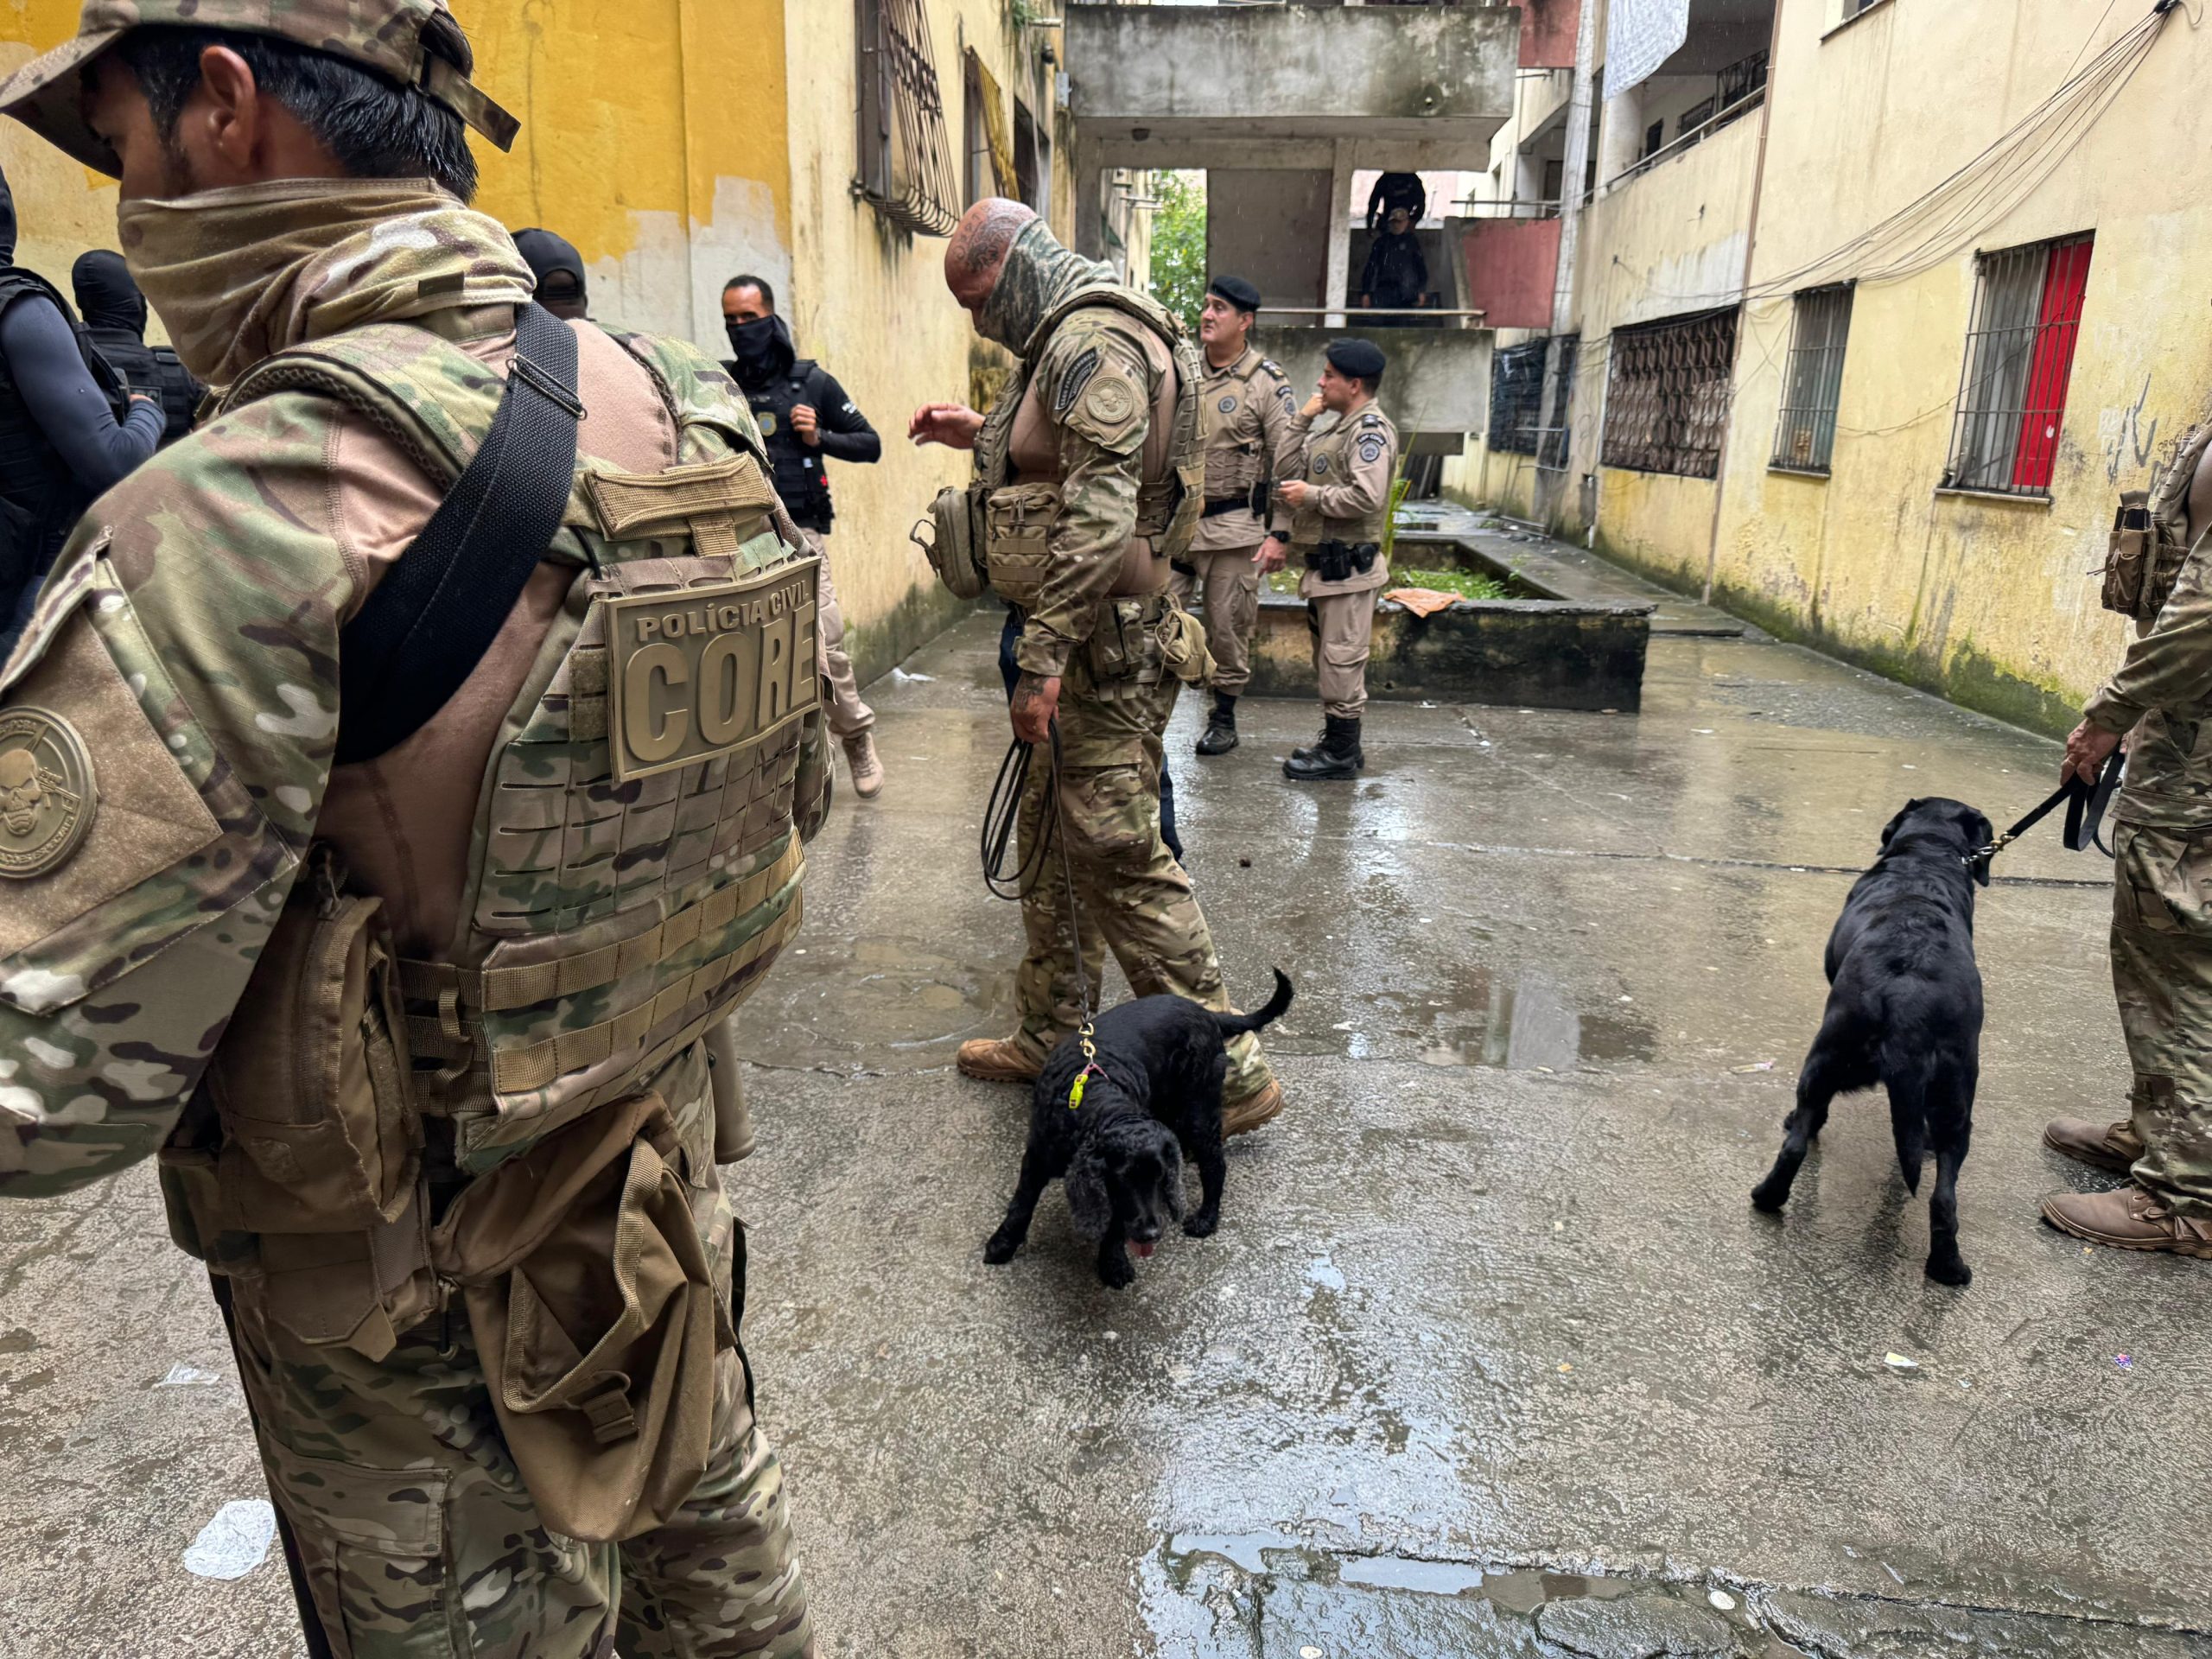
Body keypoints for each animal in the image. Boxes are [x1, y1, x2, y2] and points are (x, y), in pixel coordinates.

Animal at [986, 969, 1292, 1292]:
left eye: (1158, 1177)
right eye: (1124, 1179)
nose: (1150, 1235)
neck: (1097, 1098)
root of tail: (1205, 1012)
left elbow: (1116, 1222)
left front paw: (1113, 1262)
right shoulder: (1038, 1154)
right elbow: (1022, 1203)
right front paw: (1002, 1244)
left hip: (1197, 1105)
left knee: (1215, 1164)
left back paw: (1206, 1219)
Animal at [1751, 800, 1999, 1292]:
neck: (1926, 855)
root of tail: (1909, 999)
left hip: (1825, 1059)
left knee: (1798, 1142)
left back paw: (1767, 1195)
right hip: (1954, 1098)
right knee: (1944, 1197)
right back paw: (1948, 1268)